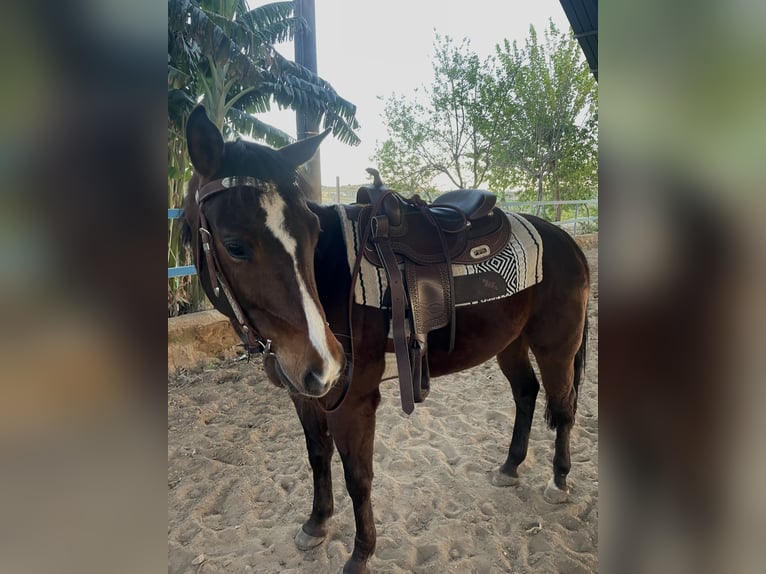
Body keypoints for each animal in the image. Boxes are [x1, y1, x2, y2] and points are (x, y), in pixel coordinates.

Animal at [182, 106, 592, 572]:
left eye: (312, 233)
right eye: (234, 245)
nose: (326, 362)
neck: (332, 277)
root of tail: (565, 239)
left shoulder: (353, 400)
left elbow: (357, 475)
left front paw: (361, 552)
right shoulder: (304, 394)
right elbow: (317, 456)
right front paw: (316, 524)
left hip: (556, 347)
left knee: (563, 406)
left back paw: (558, 481)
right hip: (510, 343)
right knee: (526, 393)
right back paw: (509, 467)